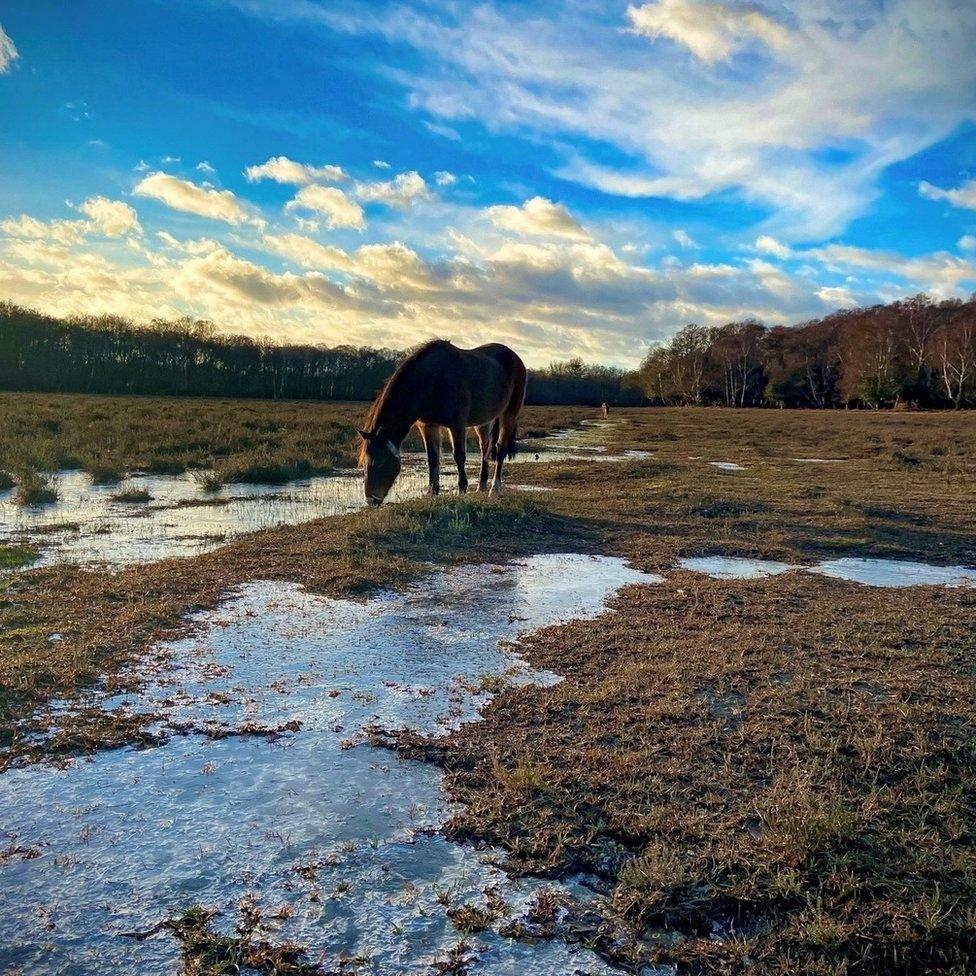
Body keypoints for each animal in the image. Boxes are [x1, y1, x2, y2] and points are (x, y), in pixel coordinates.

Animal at [358, 338, 528, 504]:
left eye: (380, 461)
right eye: (365, 462)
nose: (371, 500)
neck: (434, 379)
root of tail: (516, 358)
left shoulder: (457, 425)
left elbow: (459, 456)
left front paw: (462, 490)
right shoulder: (428, 426)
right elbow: (432, 458)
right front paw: (432, 491)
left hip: (509, 414)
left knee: (500, 448)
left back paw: (495, 488)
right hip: (483, 421)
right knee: (484, 448)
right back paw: (481, 486)